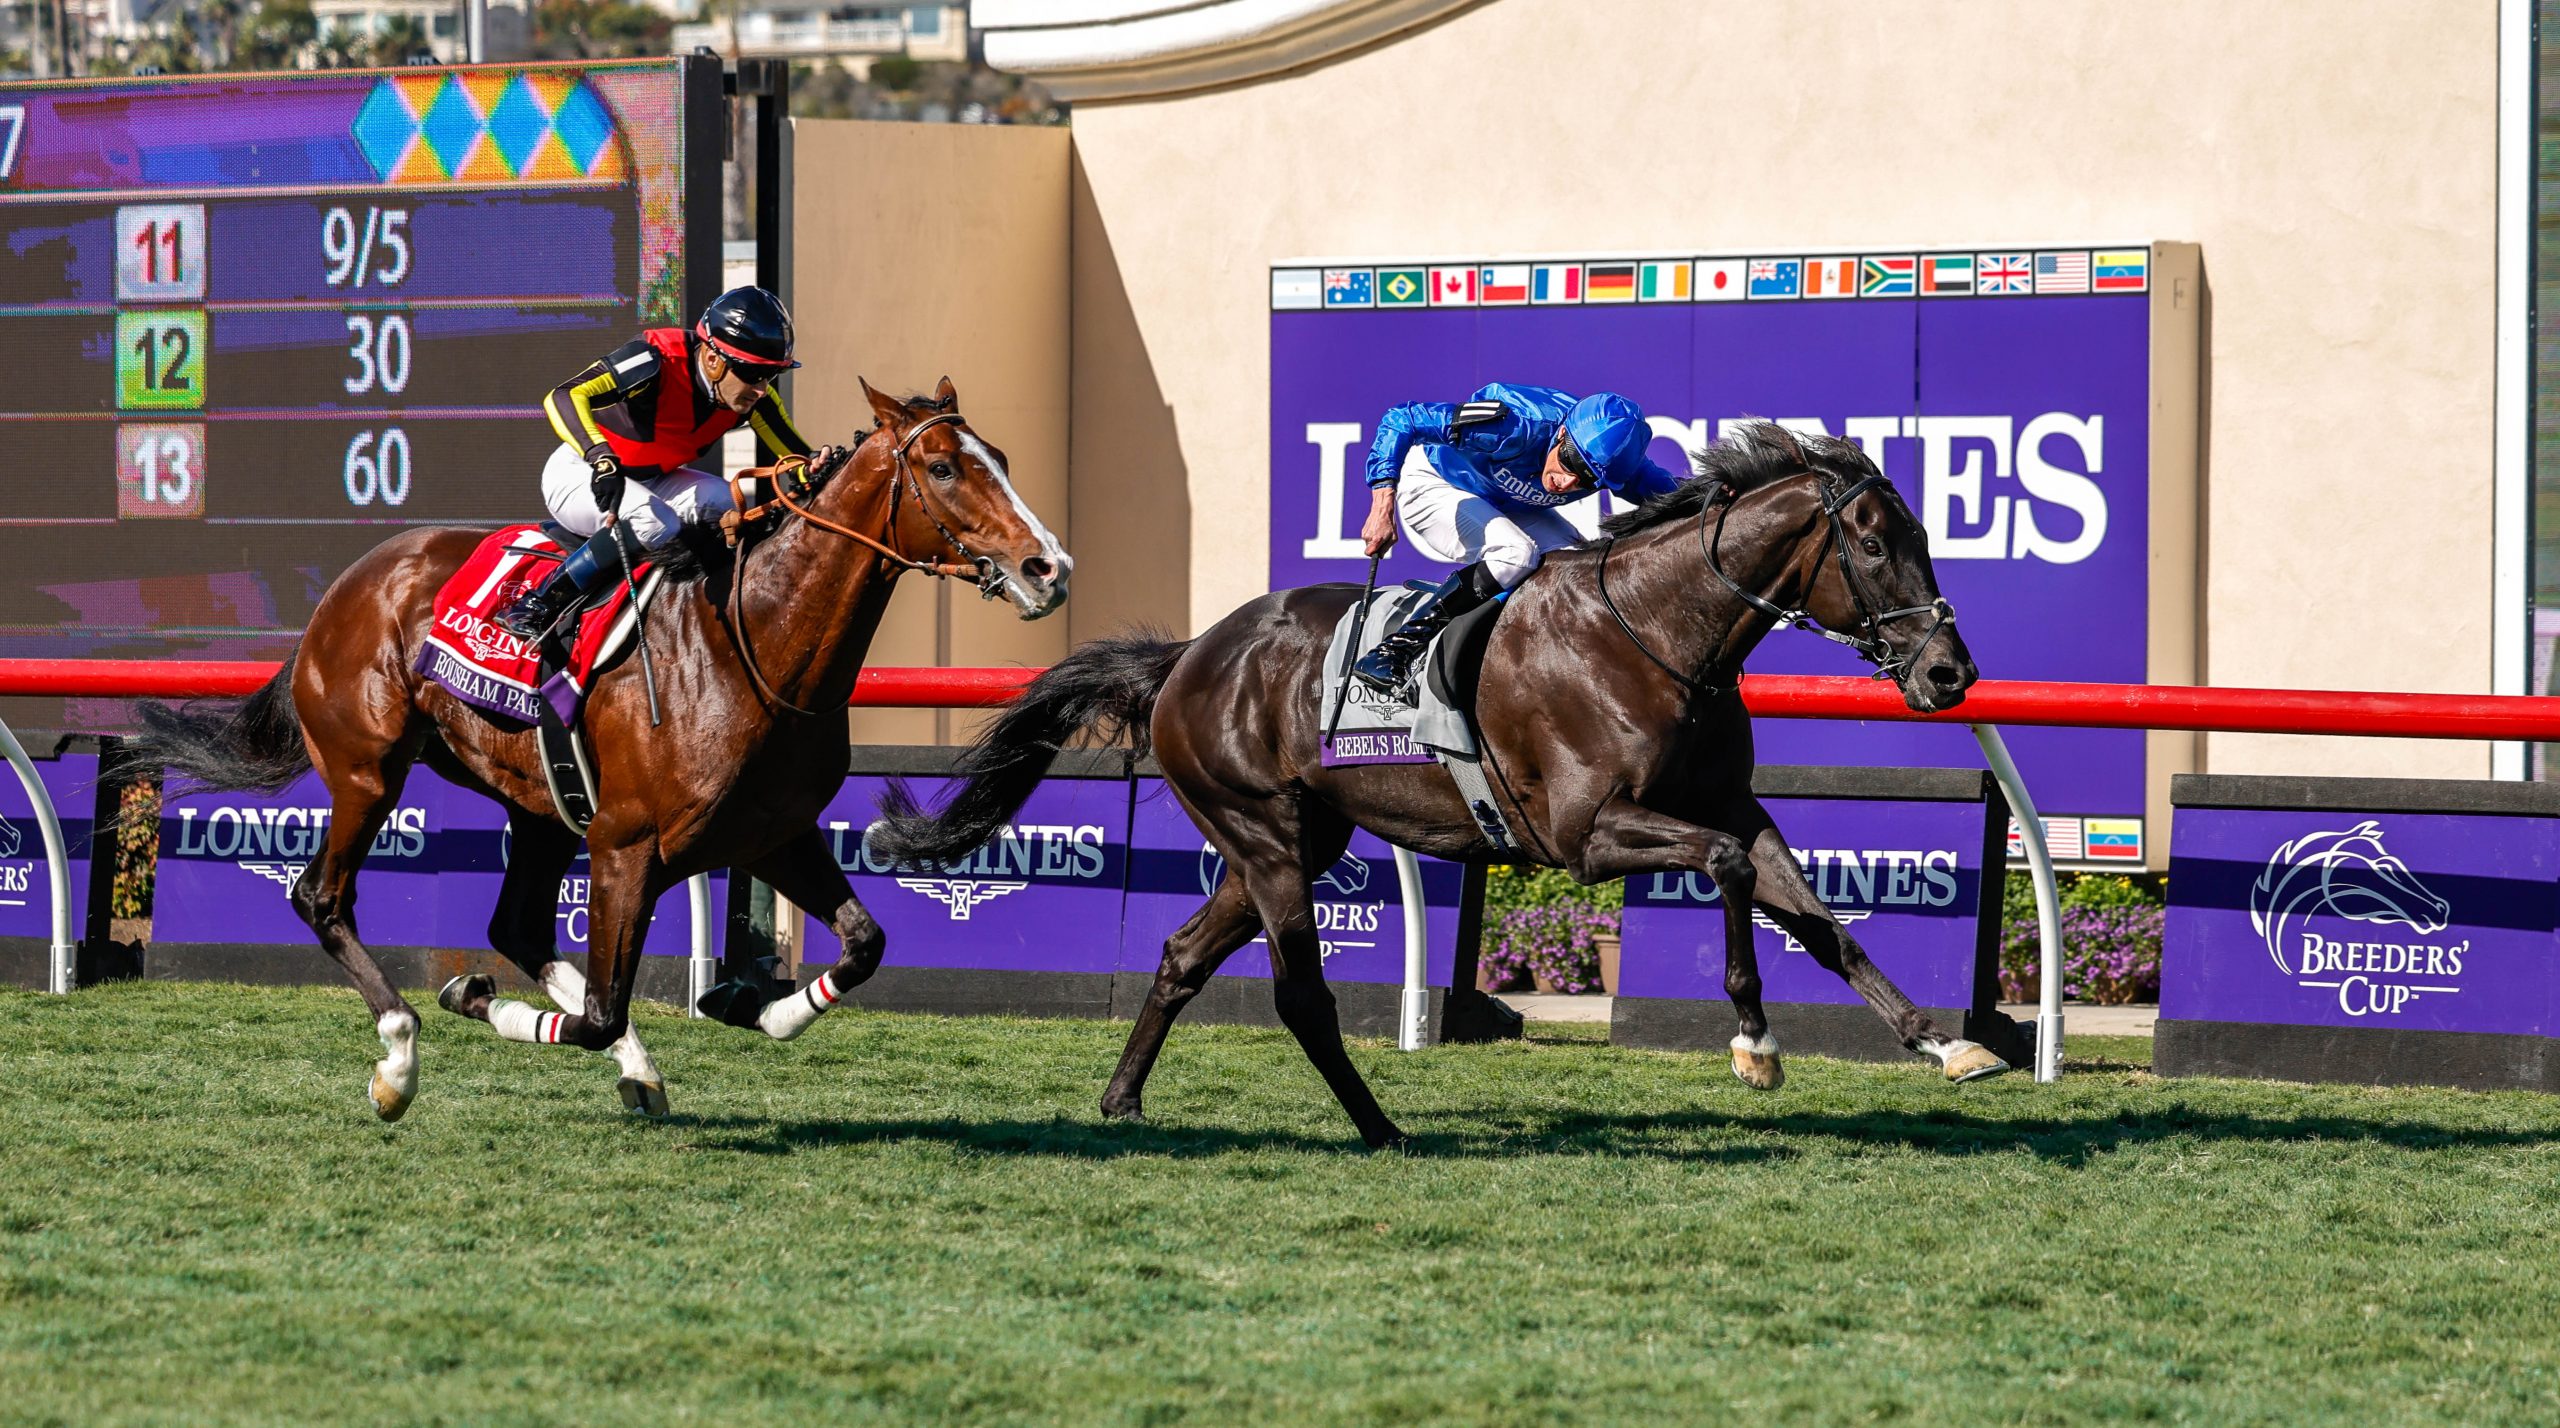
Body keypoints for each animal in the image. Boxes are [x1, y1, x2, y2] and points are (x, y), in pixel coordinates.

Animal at [127, 381, 1070, 1120]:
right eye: (943, 467)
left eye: (1003, 459)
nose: (1048, 567)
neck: (753, 645)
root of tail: (348, 583)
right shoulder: (627, 845)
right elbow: (600, 1012)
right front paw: (472, 996)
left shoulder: (774, 833)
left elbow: (865, 943)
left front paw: (752, 1006)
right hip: (368, 771)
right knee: (322, 899)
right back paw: (399, 1056)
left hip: (537, 802)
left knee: (514, 924)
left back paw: (631, 1069)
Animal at [880, 422, 1996, 1151]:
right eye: (1872, 543)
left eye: (1924, 539)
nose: (1950, 674)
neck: (1655, 634)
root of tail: (1191, 655)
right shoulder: (1584, 833)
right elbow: (1723, 872)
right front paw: (1753, 1040)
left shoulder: (1732, 805)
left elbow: (1821, 921)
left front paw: (1943, 1044)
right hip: (1267, 839)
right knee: (1300, 994)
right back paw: (1378, 1125)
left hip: (1292, 842)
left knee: (1181, 956)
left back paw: (1122, 1100)